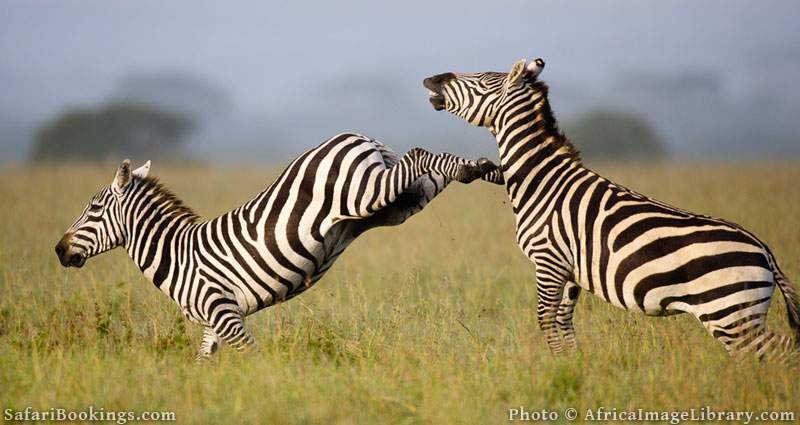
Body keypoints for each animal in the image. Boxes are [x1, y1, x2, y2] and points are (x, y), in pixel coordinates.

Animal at [56, 134, 500, 360]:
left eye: (94, 208)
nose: (59, 251)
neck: (176, 253)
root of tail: (359, 137)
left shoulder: (223, 313)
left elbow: (253, 358)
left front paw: (265, 388)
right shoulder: (213, 321)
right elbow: (204, 361)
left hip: (366, 193)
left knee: (418, 153)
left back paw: (478, 167)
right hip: (397, 204)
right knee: (430, 165)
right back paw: (481, 168)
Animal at [424, 58, 800, 360]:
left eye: (484, 79)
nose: (430, 79)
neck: (540, 179)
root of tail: (765, 251)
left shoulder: (548, 260)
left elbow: (545, 320)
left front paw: (554, 367)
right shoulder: (570, 271)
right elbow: (563, 322)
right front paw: (573, 365)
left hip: (730, 313)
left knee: (778, 352)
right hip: (738, 314)